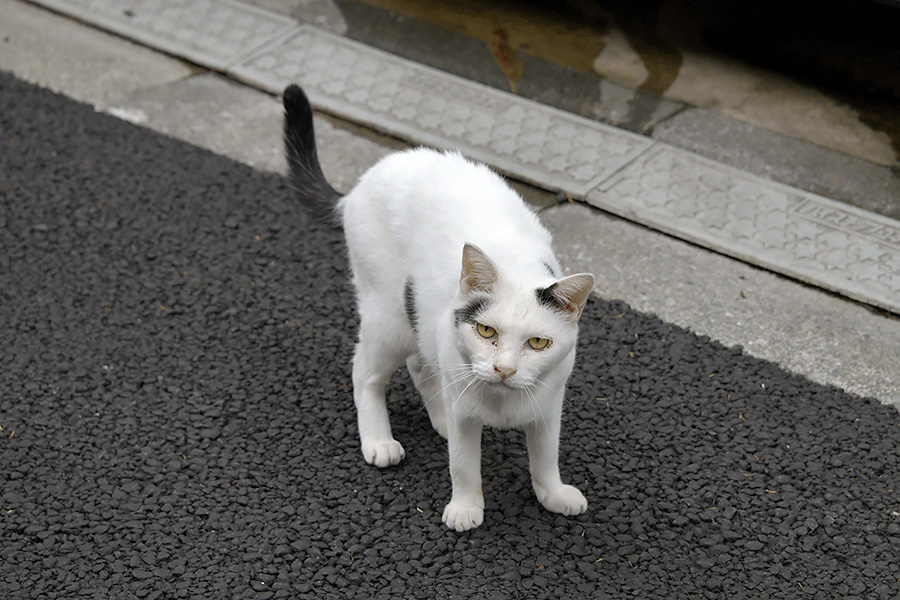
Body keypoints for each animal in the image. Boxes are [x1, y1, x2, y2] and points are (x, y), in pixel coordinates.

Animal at [282, 84, 592, 528]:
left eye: (537, 343)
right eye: (486, 331)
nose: (504, 370)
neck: (501, 404)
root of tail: (358, 187)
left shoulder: (549, 407)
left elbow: (546, 458)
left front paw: (554, 494)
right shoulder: (466, 408)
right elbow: (463, 465)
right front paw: (465, 508)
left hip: (422, 319)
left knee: (419, 364)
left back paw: (439, 418)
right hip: (389, 316)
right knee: (364, 372)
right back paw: (380, 440)